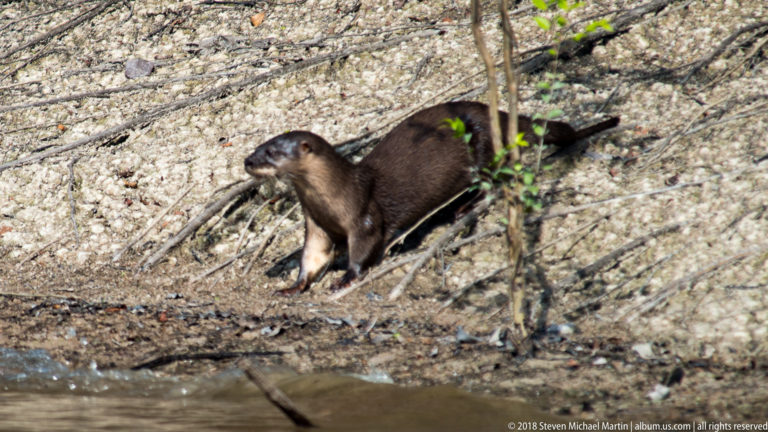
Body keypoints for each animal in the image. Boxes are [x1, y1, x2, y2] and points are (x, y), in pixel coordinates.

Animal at [245, 101, 618, 296]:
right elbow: (311, 258)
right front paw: (293, 287)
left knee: (491, 181)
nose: (248, 161)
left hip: (481, 149)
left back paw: (463, 208)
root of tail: (494, 112)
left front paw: (346, 278)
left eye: (272, 152)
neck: (334, 200)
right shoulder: (317, 226)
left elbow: (363, 248)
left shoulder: (364, 216)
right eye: (258, 146)